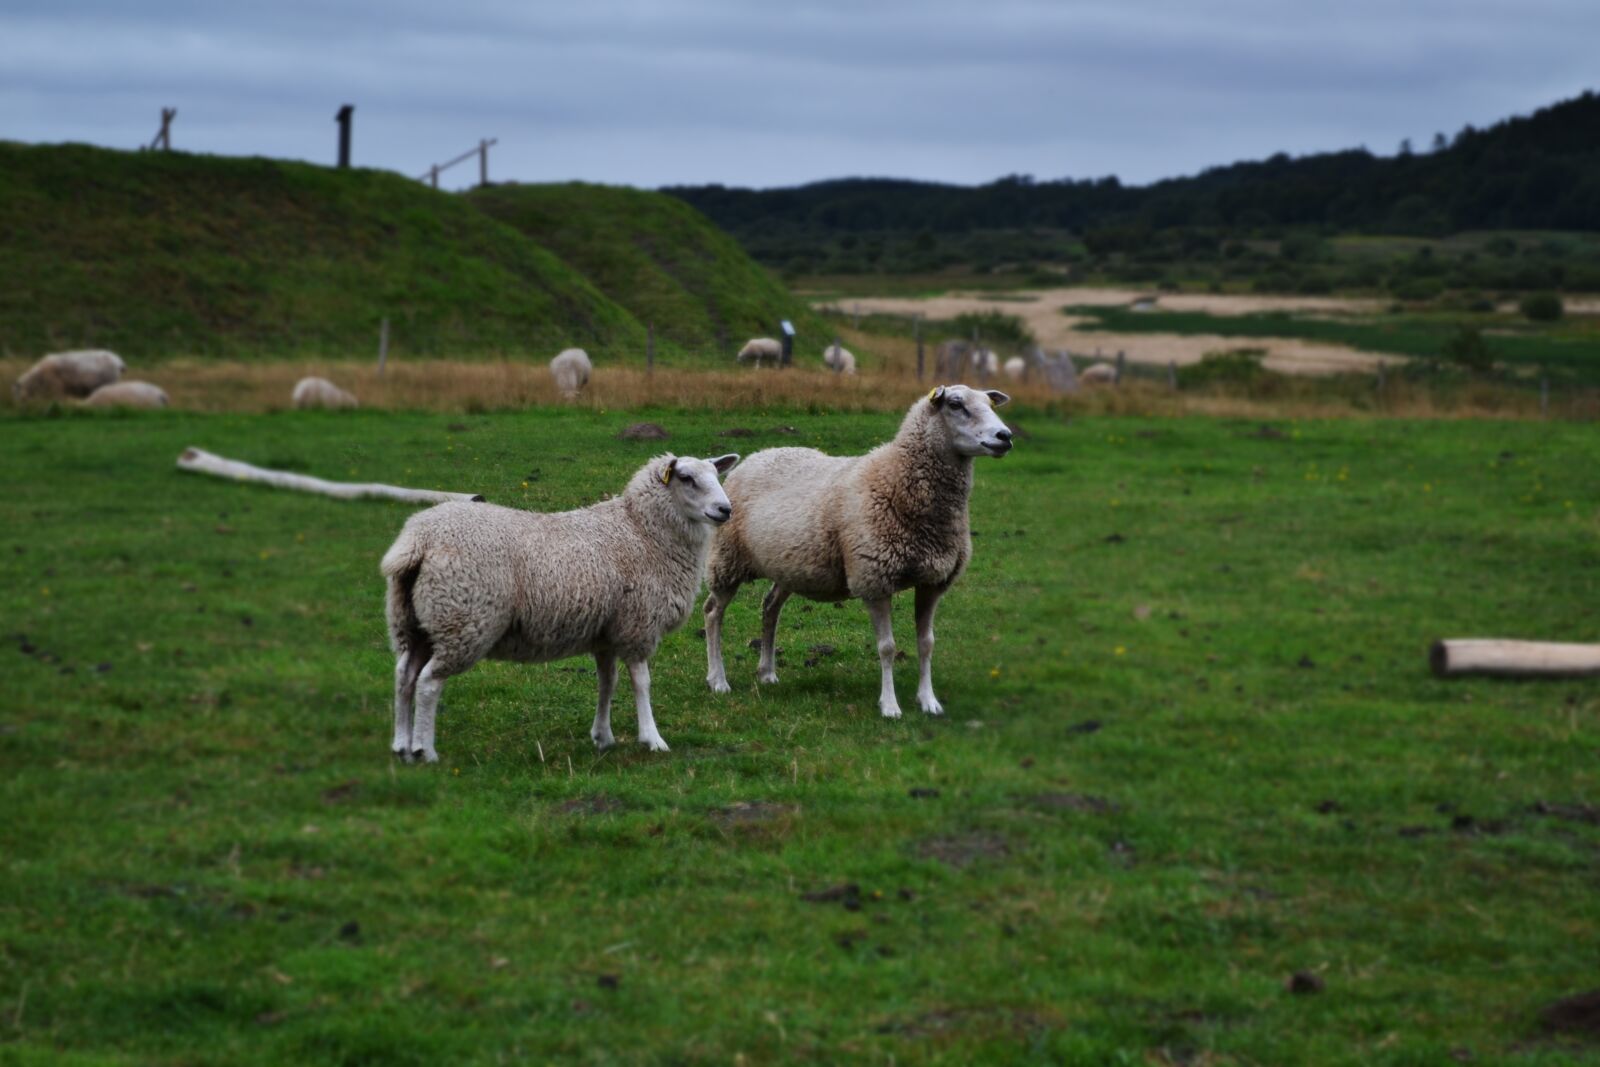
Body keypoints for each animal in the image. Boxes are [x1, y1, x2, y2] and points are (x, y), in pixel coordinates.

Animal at [381, 451, 741, 762]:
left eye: (716, 473)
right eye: (686, 478)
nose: (725, 509)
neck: (641, 531)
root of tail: (419, 540)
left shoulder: (606, 632)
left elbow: (608, 682)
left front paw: (602, 736)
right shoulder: (638, 626)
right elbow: (642, 683)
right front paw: (652, 738)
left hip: (416, 621)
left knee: (404, 675)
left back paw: (401, 745)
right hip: (462, 619)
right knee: (428, 683)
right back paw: (424, 750)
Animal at [703, 384, 1012, 718]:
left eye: (990, 403)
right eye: (956, 405)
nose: (1005, 436)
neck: (897, 478)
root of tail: (759, 454)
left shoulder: (933, 581)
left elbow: (927, 642)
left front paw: (928, 700)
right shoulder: (874, 578)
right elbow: (887, 647)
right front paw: (889, 706)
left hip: (788, 566)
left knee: (770, 606)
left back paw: (767, 672)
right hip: (726, 559)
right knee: (713, 613)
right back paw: (718, 680)